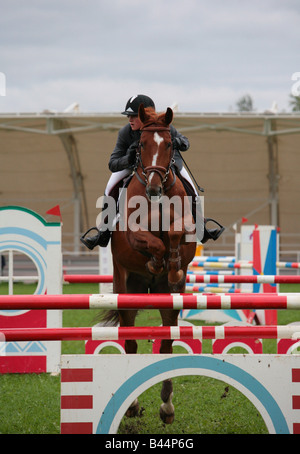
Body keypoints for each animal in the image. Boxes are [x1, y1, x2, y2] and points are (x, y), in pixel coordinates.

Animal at [102, 104, 198, 424]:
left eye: (169, 144)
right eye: (141, 145)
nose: (155, 189)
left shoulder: (185, 228)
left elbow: (175, 234)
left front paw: (173, 264)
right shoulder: (134, 235)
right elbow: (153, 243)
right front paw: (158, 262)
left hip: (169, 298)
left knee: (167, 342)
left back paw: (167, 406)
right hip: (125, 288)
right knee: (130, 342)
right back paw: (131, 405)